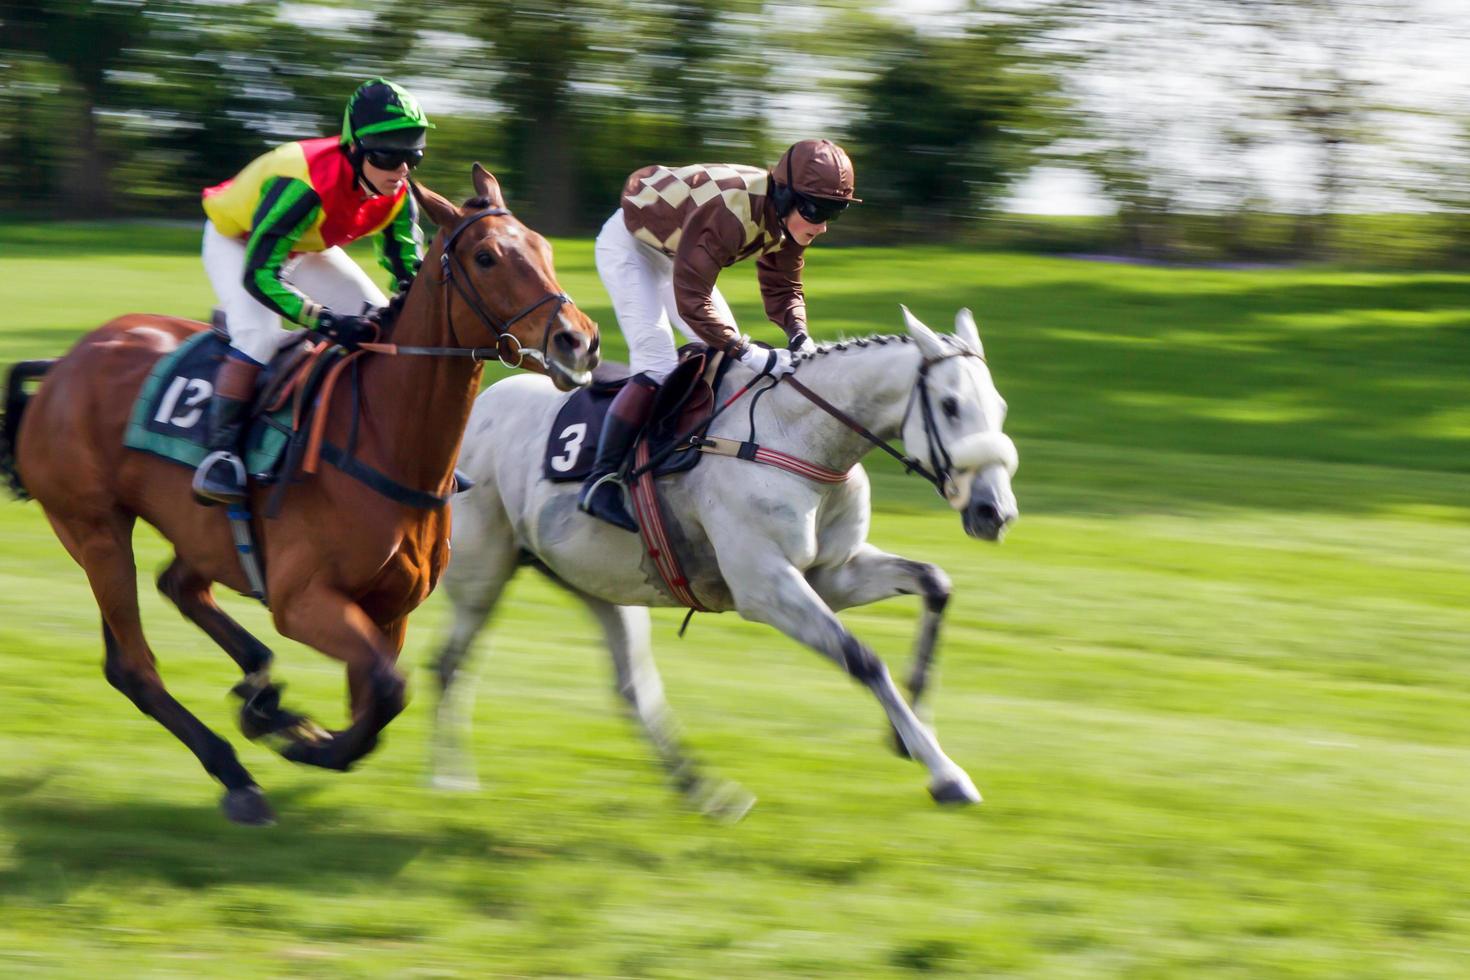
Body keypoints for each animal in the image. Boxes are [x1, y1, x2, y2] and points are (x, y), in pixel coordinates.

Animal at [1, 168, 596, 828]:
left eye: (543, 248)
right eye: (487, 257)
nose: (578, 341)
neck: (384, 436)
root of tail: (63, 363)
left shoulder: (389, 610)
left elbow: (377, 697)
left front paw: (290, 726)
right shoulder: (303, 600)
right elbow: (388, 691)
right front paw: (305, 743)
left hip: (194, 533)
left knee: (178, 589)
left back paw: (260, 692)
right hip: (96, 530)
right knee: (133, 665)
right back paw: (236, 774)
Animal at [429, 310, 1017, 816]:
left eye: (1000, 407)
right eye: (950, 405)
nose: (995, 511)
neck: (798, 436)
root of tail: (478, 409)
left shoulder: (834, 573)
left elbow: (935, 583)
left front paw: (908, 732)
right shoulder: (765, 586)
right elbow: (864, 660)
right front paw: (945, 772)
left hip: (599, 585)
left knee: (633, 689)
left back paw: (703, 790)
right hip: (482, 574)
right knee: (450, 664)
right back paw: (450, 777)